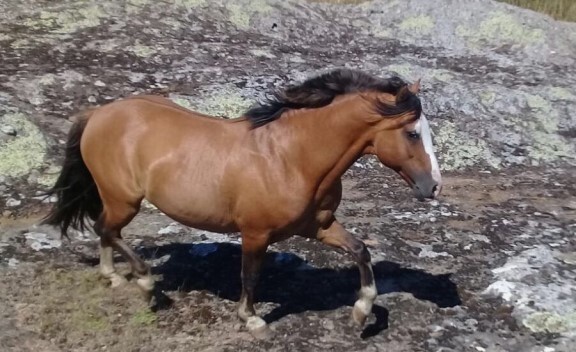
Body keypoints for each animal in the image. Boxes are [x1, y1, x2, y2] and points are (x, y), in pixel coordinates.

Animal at [44, 67, 440, 334]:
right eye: (412, 133)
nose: (434, 186)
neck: (290, 158)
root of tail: (98, 113)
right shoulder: (255, 233)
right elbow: (250, 276)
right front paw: (252, 320)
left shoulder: (320, 225)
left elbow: (360, 251)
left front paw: (360, 312)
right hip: (124, 199)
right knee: (107, 229)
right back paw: (143, 282)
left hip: (116, 199)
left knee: (105, 231)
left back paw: (112, 277)